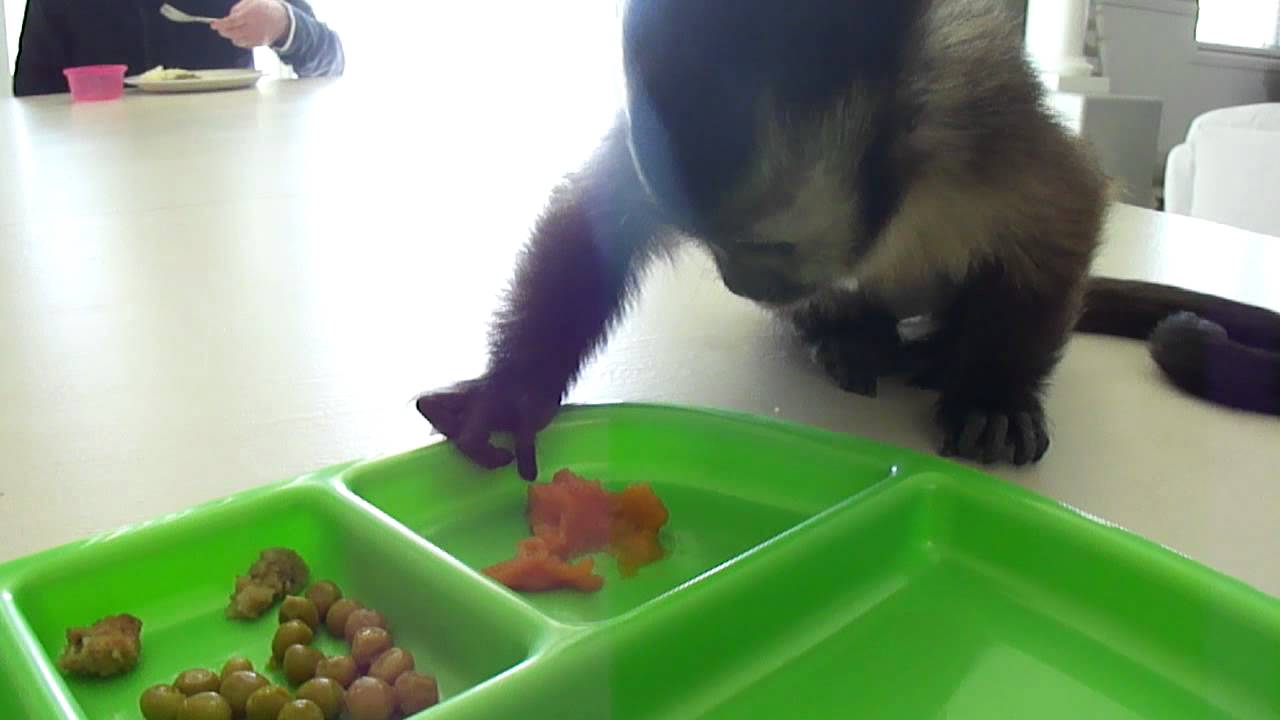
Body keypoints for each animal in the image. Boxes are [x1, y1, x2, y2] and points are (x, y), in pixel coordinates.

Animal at [415, 0, 1280, 481]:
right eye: (710, 245)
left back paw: (942, 352)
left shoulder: (983, 127)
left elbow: (1067, 213)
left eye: (768, 248)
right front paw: (514, 391)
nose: (739, 283)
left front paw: (995, 392)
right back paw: (852, 335)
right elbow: (593, 216)